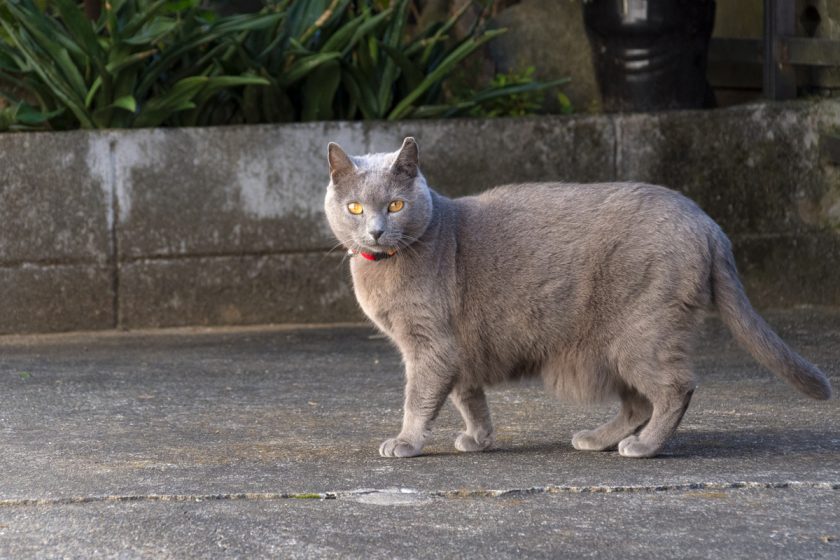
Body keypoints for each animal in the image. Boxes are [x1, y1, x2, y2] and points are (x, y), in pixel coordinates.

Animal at [324, 137, 832, 460]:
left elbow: (420, 397)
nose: (376, 230)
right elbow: (468, 396)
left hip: (641, 330)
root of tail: (708, 223)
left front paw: (406, 443)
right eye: (355, 207)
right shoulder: (460, 348)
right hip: (614, 344)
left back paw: (643, 448)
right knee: (638, 403)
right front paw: (479, 439)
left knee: (674, 389)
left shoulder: (432, 344)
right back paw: (598, 438)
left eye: (395, 205)